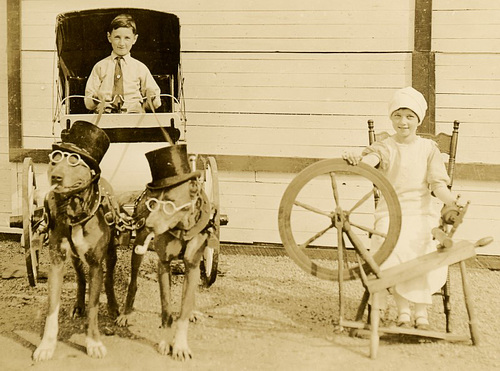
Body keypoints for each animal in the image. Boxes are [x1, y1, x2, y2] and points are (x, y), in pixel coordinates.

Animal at [33, 122, 120, 364]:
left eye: (74, 161)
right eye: (54, 159)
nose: (55, 177)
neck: (74, 213)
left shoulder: (96, 264)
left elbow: (94, 307)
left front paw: (93, 343)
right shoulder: (57, 261)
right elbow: (52, 307)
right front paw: (46, 345)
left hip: (111, 253)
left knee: (109, 278)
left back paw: (113, 306)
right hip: (74, 258)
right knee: (81, 280)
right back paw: (79, 305)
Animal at [115, 144, 213, 362]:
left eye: (169, 202)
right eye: (152, 202)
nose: (148, 224)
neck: (182, 228)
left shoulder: (192, 264)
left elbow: (184, 308)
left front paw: (181, 345)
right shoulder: (163, 264)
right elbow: (167, 308)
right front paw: (166, 342)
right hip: (138, 249)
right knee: (133, 282)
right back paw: (126, 313)